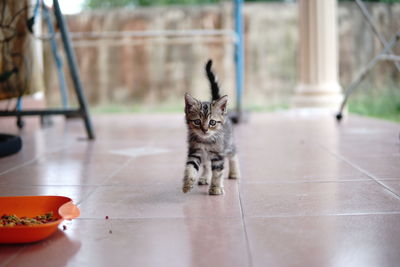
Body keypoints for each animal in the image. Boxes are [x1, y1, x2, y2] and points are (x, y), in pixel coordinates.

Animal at [182, 59, 241, 196]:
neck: (206, 141)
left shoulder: (218, 154)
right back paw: (205, 177)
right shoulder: (195, 151)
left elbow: (218, 172)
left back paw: (234, 172)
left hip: (228, 144)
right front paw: (187, 183)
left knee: (234, 154)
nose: (205, 130)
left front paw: (215, 188)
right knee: (206, 164)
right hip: (205, 155)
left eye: (212, 122)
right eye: (197, 122)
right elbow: (190, 167)